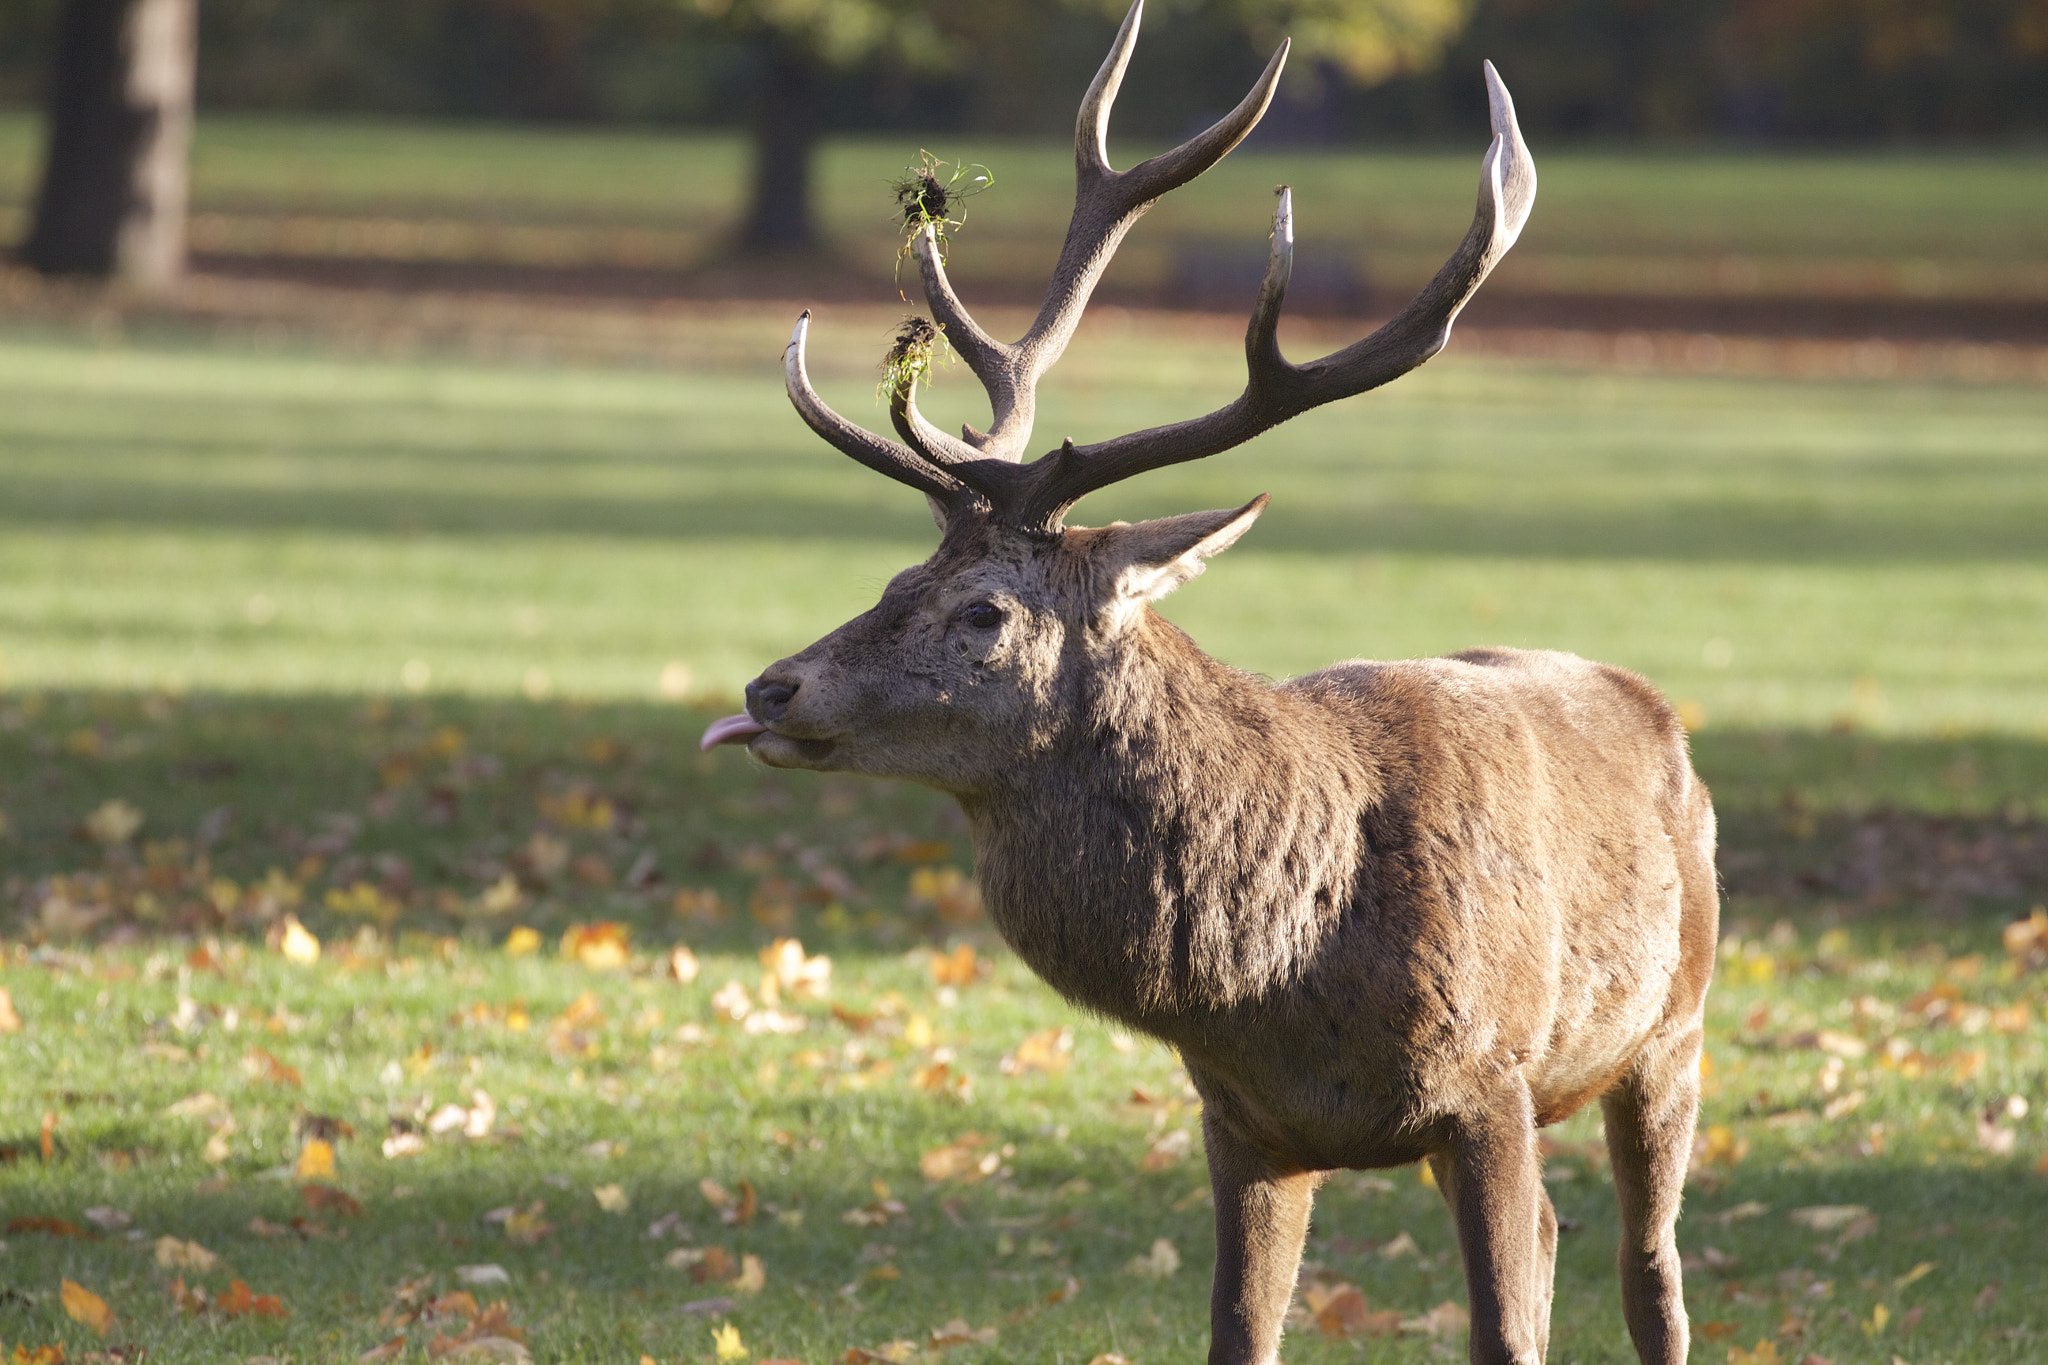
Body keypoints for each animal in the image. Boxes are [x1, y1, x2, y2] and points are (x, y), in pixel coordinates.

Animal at [701, 5, 1718, 1362]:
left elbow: (1505, 1325)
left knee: (1646, 1265)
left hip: (1673, 1026)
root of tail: (1657, 715)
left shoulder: (1491, 1082)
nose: (772, 689)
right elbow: (1243, 1330)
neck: (1281, 975)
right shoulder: (1237, 1120)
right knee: (1565, 1244)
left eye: (983, 611)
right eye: (897, 574)